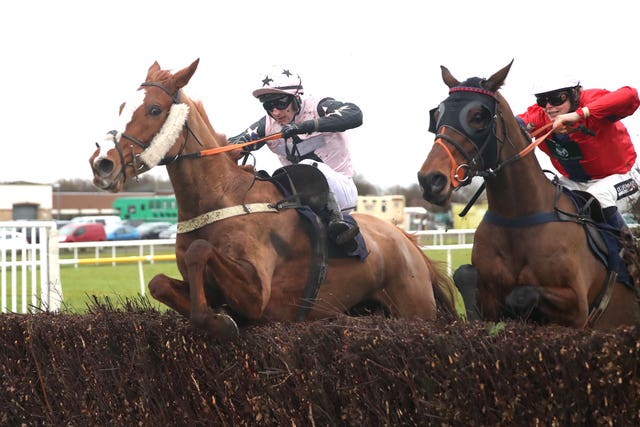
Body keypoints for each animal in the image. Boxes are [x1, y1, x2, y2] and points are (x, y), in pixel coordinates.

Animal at [89, 58, 460, 340]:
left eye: (154, 109)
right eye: (122, 107)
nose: (102, 163)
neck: (223, 199)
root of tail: (406, 239)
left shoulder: (258, 297)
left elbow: (200, 252)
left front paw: (218, 321)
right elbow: (158, 283)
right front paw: (216, 315)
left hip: (414, 308)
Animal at [418, 61, 636, 332]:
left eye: (478, 117)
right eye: (437, 115)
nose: (430, 180)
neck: (517, 217)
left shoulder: (577, 308)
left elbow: (521, 294)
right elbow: (464, 276)